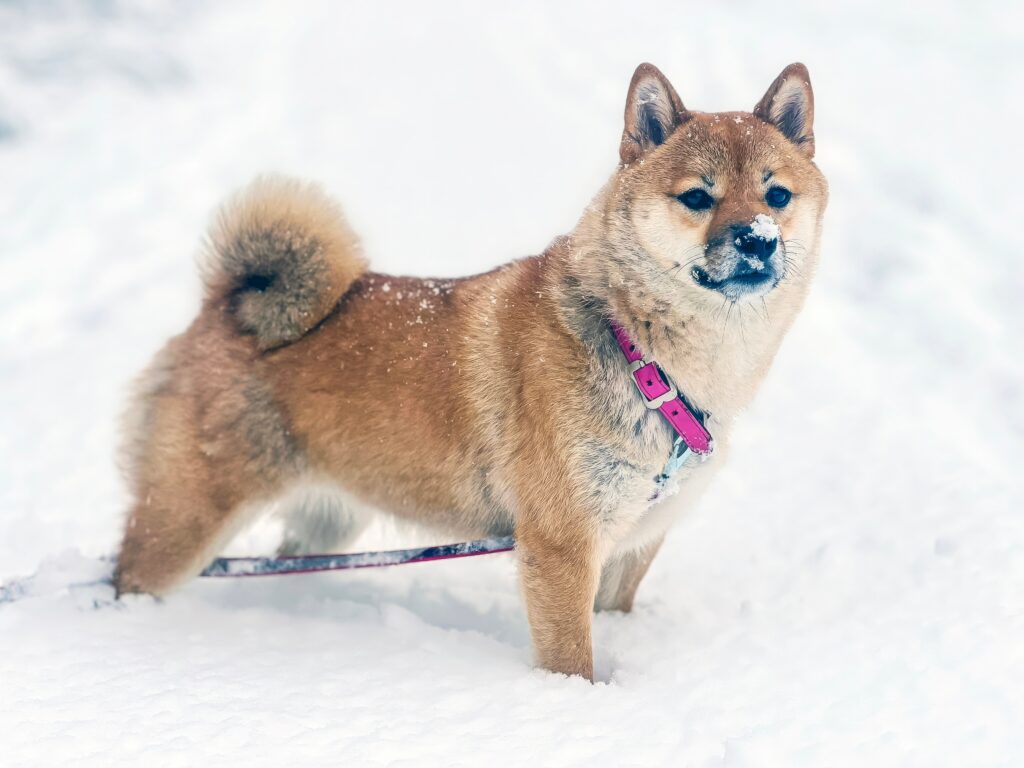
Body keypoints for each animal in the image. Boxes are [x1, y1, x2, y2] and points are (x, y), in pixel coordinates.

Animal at [116, 64, 827, 679]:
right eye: (698, 197)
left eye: (777, 195)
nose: (757, 239)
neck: (645, 358)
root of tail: (225, 308)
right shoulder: (561, 545)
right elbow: (573, 660)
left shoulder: (631, 543)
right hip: (184, 521)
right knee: (127, 578)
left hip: (328, 519)